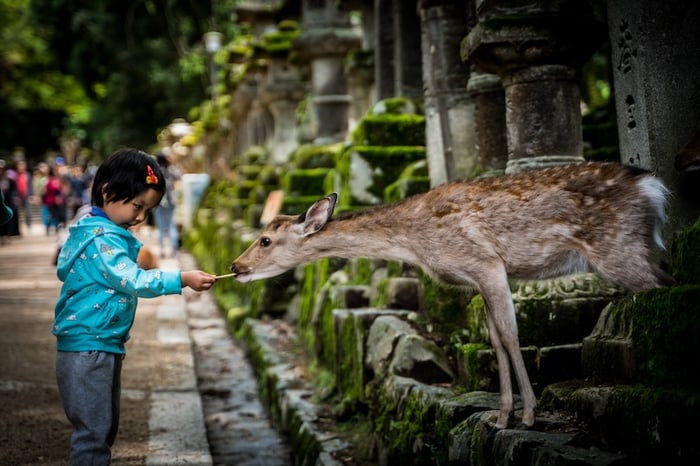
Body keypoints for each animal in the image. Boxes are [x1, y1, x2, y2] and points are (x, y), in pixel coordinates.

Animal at [228, 163, 672, 430]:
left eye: (265, 239)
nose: (235, 264)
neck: (416, 243)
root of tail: (651, 186)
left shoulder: (487, 263)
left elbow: (510, 336)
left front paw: (528, 416)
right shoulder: (479, 278)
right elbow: (494, 340)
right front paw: (500, 417)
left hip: (619, 249)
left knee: (663, 290)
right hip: (638, 248)